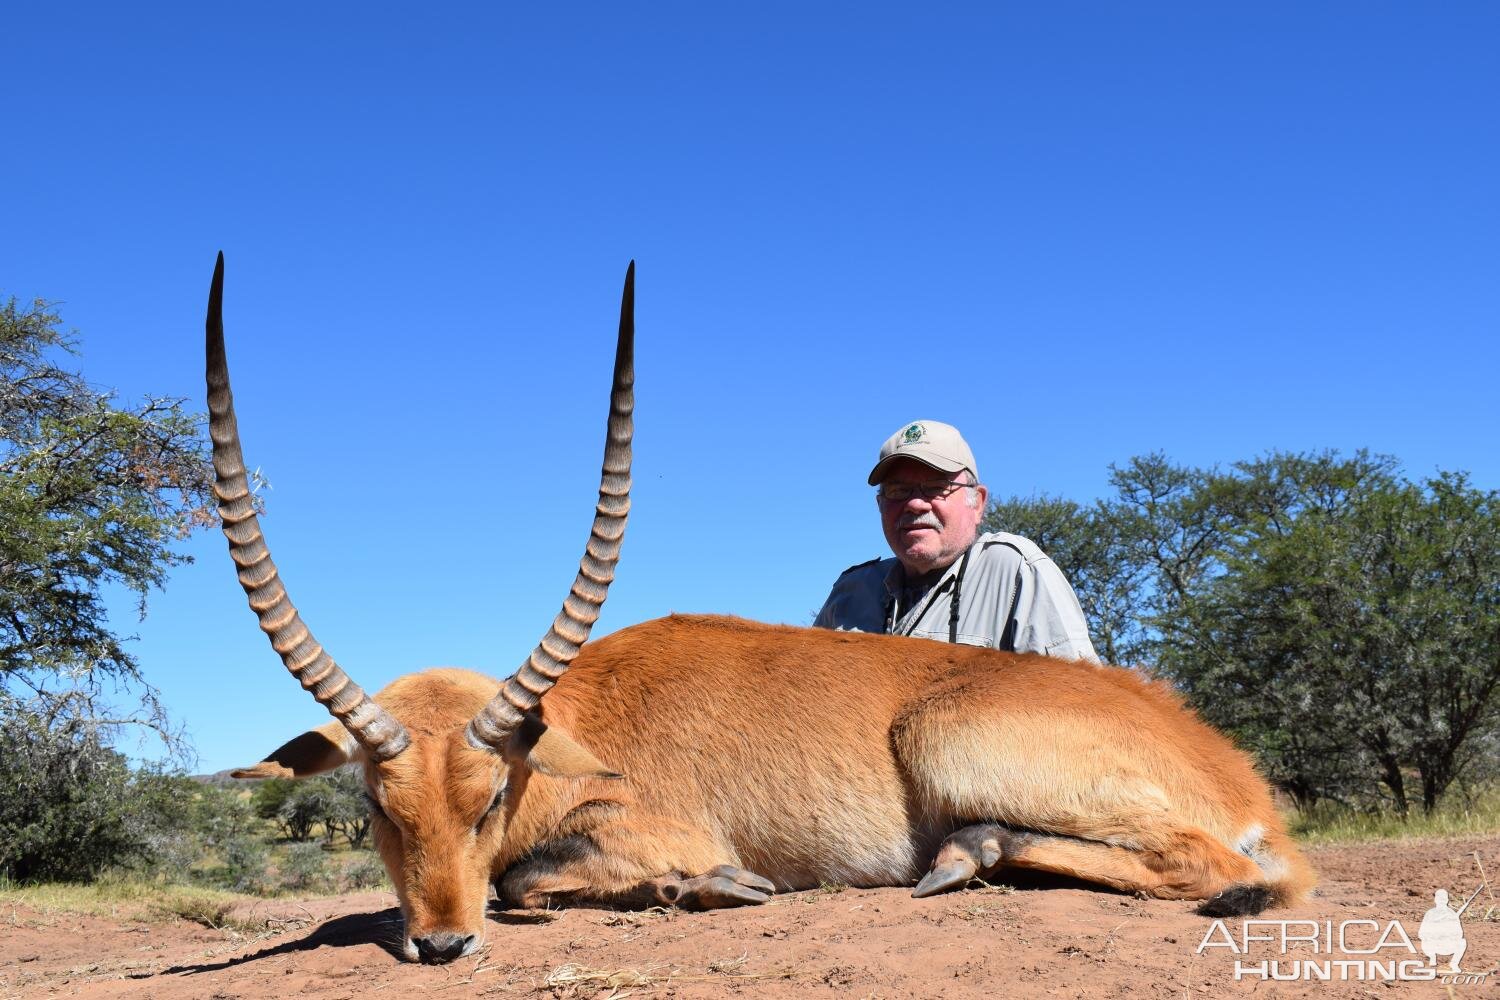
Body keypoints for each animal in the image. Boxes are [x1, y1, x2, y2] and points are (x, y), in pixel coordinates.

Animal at [211, 256, 1314, 959]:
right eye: (374, 805)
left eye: (488, 798)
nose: (441, 942)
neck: (578, 725)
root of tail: (1228, 766)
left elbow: (531, 881)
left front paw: (708, 887)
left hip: (950, 740)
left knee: (1219, 867)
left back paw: (968, 856)